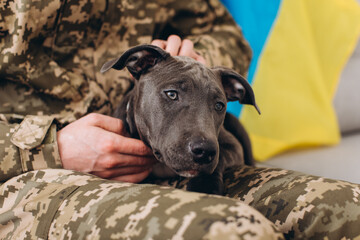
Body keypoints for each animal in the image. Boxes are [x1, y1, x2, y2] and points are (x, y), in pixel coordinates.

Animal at [100, 45, 260, 195]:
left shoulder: (234, 147)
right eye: (172, 94)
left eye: (219, 105)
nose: (205, 151)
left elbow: (220, 158)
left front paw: (204, 184)